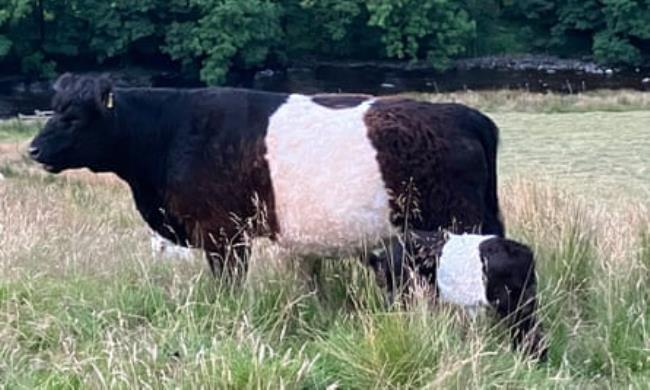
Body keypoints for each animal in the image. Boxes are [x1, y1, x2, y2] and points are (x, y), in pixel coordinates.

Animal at [30, 73, 504, 274]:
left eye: (74, 117)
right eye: (54, 109)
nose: (33, 149)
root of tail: (462, 113)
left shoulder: (222, 232)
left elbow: (228, 283)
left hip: (456, 222)